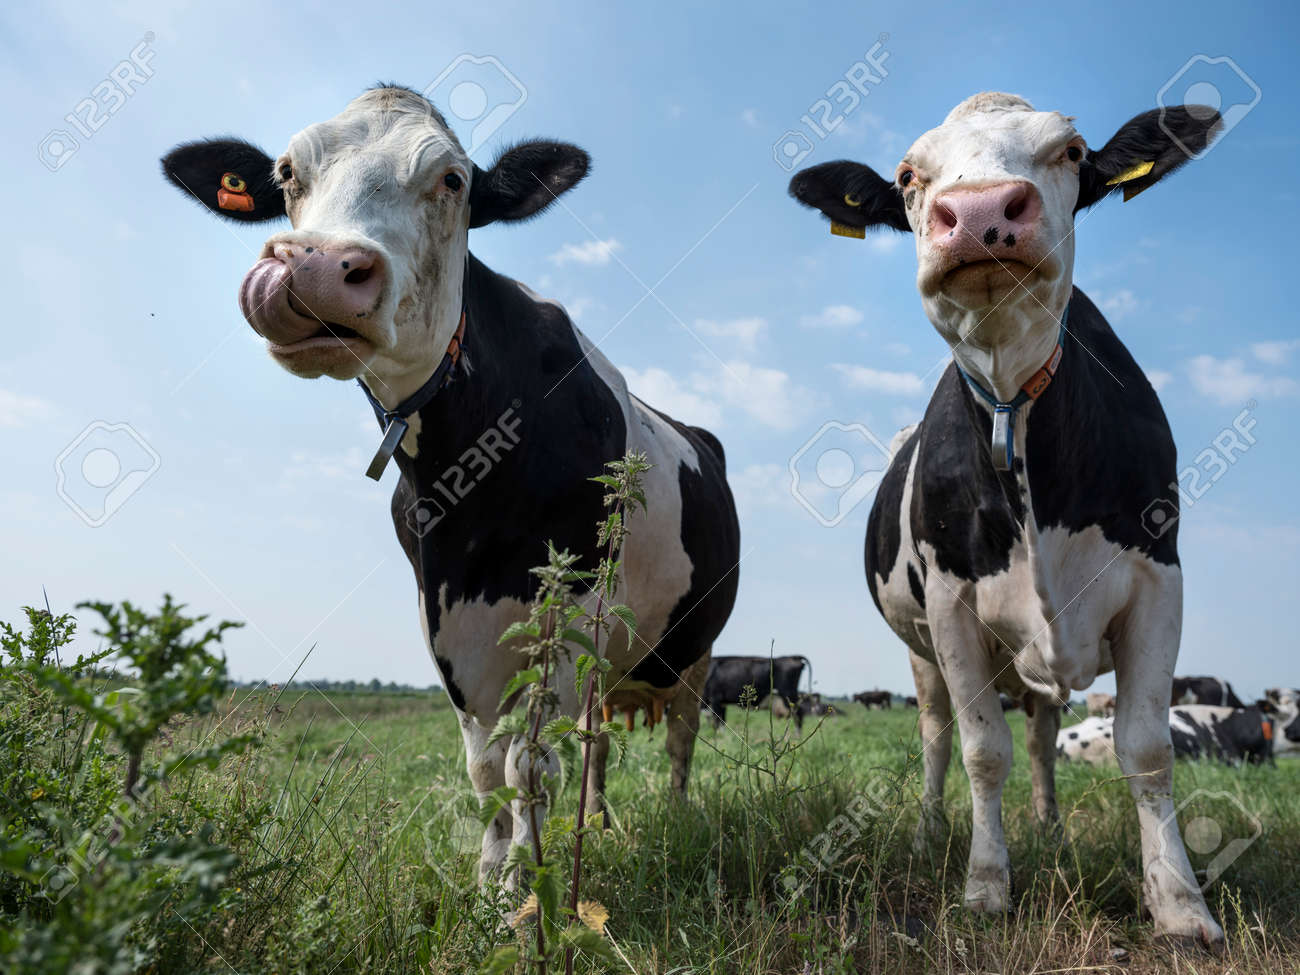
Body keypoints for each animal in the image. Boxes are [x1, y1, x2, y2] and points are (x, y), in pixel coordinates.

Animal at [159, 85, 740, 881]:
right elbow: (485, 764)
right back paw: (596, 822)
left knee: (679, 735)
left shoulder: (565, 604)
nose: (313, 270)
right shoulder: (442, 610)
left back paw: (676, 819)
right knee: (598, 740)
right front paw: (492, 871)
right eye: (286, 173)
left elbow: (528, 761)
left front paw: (526, 885)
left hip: (692, 647)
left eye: (452, 180)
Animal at [789, 91, 1224, 944]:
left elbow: (1146, 746)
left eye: (1072, 152)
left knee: (1044, 735)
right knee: (935, 733)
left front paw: (1181, 902)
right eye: (908, 175)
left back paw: (1050, 826)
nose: (983, 211)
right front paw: (986, 883)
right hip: (922, 650)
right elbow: (981, 750)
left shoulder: (1159, 577)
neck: (1012, 407)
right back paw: (929, 832)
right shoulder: (951, 603)